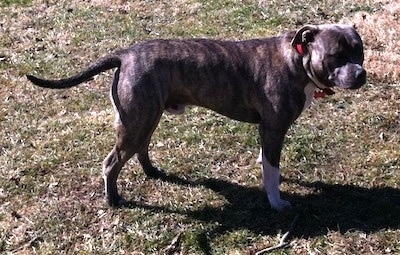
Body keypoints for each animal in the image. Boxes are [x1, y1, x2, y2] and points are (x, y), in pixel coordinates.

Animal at [26, 24, 368, 211]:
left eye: (360, 52)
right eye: (336, 56)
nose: (361, 74)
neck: (297, 59)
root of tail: (125, 54)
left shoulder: (267, 131)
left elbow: (267, 161)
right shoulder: (274, 129)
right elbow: (272, 172)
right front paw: (276, 202)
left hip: (146, 117)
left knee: (141, 148)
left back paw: (153, 172)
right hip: (135, 123)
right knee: (112, 163)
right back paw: (113, 199)